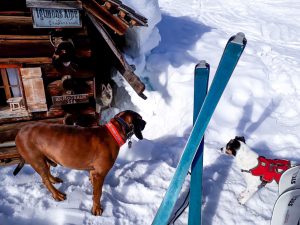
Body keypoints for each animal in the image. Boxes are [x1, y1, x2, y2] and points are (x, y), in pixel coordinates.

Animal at [12, 110, 146, 215]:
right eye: (140, 119)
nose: (145, 122)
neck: (114, 132)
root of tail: (19, 132)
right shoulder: (99, 174)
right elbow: (98, 193)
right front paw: (96, 209)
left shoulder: (93, 172)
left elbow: (94, 187)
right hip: (37, 160)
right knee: (44, 180)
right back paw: (56, 194)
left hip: (45, 158)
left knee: (47, 172)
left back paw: (53, 179)